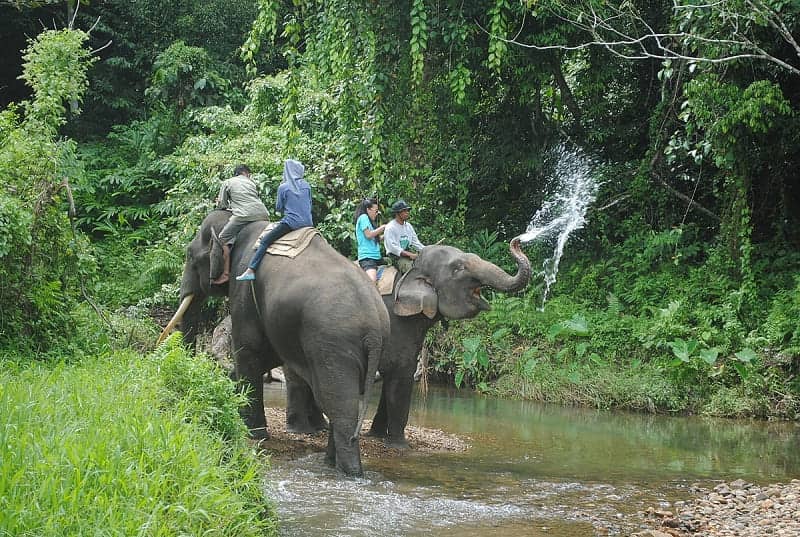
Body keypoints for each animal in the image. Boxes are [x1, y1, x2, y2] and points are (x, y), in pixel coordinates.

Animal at [158, 207, 390, 476]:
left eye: (189, 255)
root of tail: (374, 329)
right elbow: (268, 354)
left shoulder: (244, 288)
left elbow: (249, 349)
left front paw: (254, 433)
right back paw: (331, 464)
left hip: (333, 347)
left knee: (338, 404)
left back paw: (348, 472)